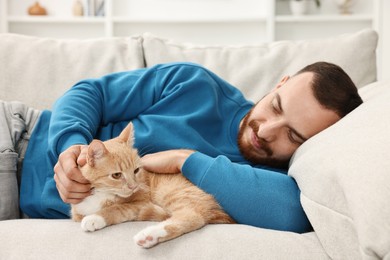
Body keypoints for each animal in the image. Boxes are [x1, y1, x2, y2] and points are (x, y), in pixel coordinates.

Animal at [71, 123, 233, 249]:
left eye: (136, 170)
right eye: (116, 175)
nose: (133, 186)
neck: (101, 192)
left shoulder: (140, 204)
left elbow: (116, 209)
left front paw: (95, 218)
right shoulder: (77, 212)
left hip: (173, 192)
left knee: (193, 216)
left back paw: (149, 235)